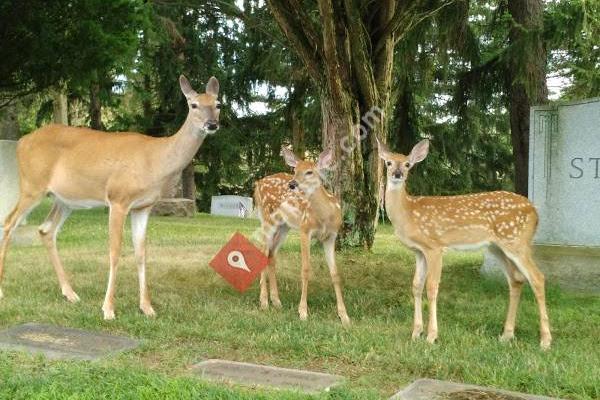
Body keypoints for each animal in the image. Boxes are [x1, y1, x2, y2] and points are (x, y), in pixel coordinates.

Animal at [0, 75, 220, 320]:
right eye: (194, 105)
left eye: (218, 104)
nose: (212, 124)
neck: (156, 160)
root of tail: (21, 142)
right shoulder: (118, 199)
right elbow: (115, 252)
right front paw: (108, 308)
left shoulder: (143, 206)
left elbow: (141, 253)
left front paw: (147, 307)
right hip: (32, 186)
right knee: (8, 223)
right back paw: (2, 291)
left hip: (64, 199)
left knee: (46, 230)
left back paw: (70, 293)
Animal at [254, 148, 352, 326]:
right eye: (295, 170)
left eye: (309, 172)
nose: (292, 184)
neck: (325, 216)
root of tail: (258, 184)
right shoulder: (305, 229)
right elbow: (305, 270)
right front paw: (303, 312)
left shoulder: (331, 236)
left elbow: (335, 274)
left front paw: (344, 316)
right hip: (267, 219)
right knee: (263, 252)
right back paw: (264, 302)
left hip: (283, 227)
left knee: (272, 255)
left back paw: (276, 301)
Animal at [378, 138, 552, 350]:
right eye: (388, 163)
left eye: (407, 164)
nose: (398, 174)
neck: (408, 213)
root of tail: (535, 212)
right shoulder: (419, 252)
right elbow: (416, 286)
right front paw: (415, 333)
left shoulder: (434, 246)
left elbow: (432, 287)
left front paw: (431, 336)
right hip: (497, 247)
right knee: (516, 280)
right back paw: (507, 335)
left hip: (517, 241)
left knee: (537, 278)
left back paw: (545, 340)